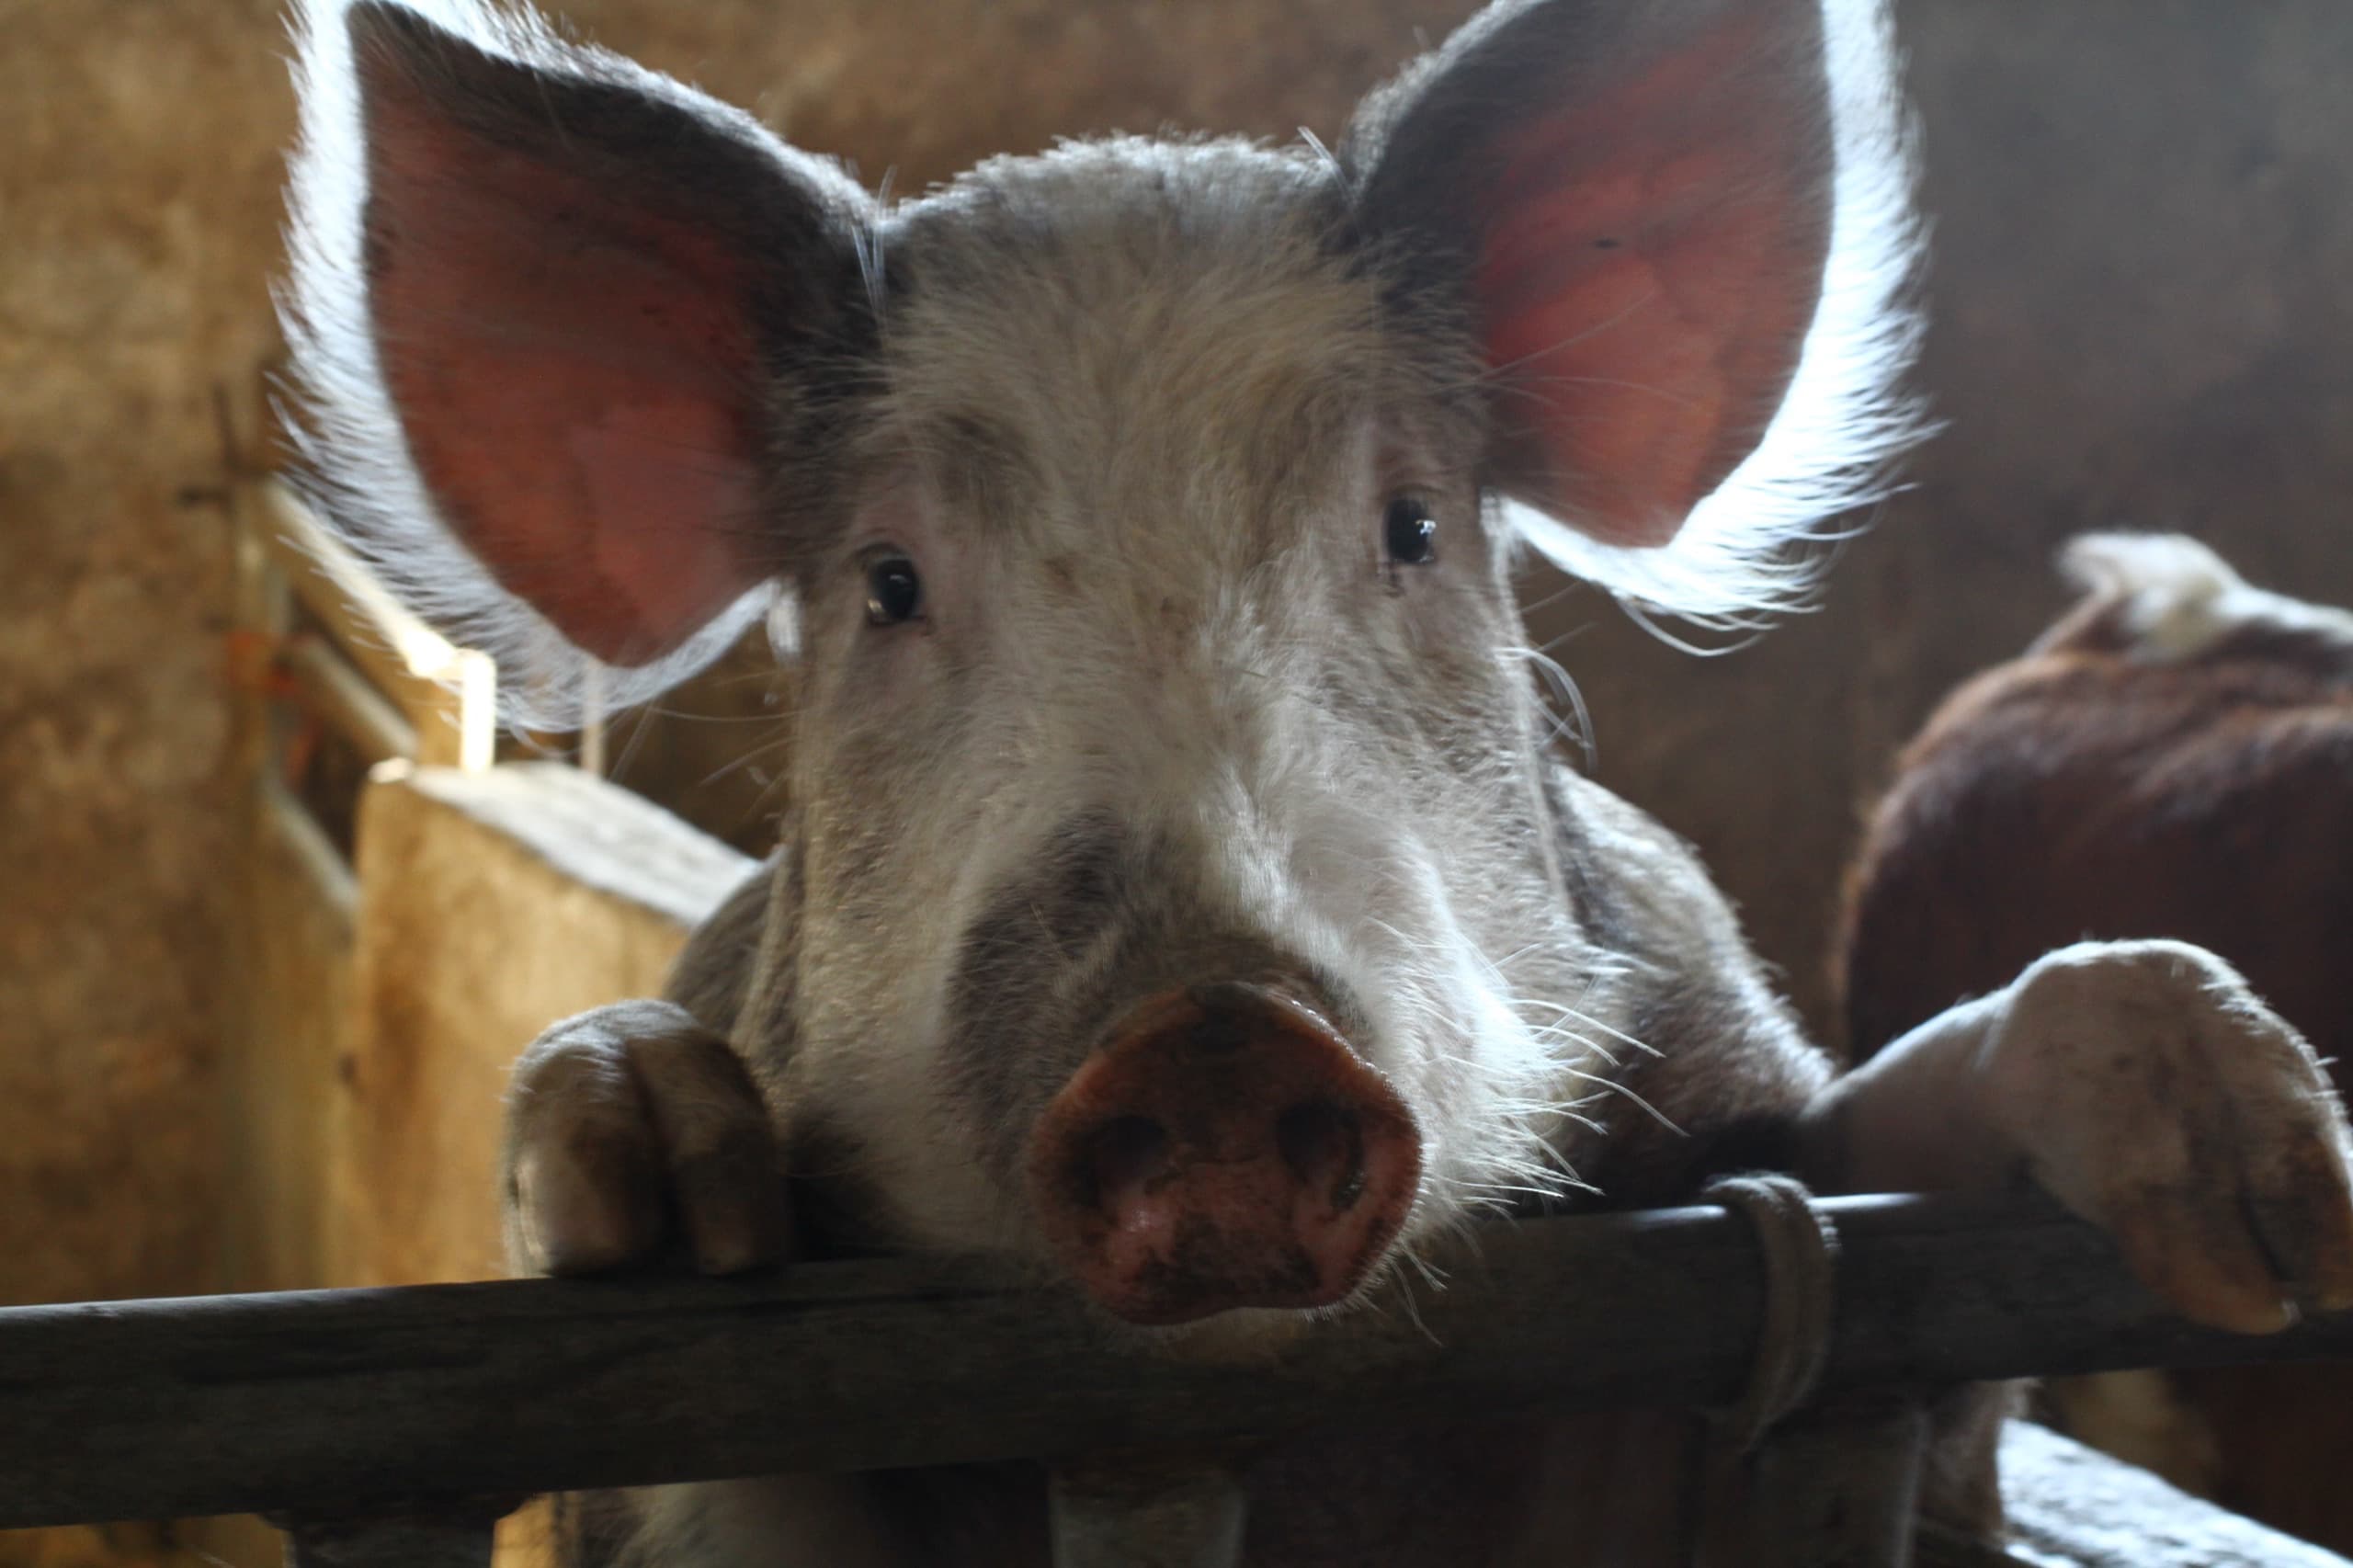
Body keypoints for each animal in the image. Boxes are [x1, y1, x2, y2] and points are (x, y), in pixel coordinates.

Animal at [281, 0, 2353, 1563]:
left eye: (1411, 526)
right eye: (887, 585)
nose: (1211, 1027)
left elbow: (1873, 1205)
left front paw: (2272, 1217)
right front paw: (653, 1166)